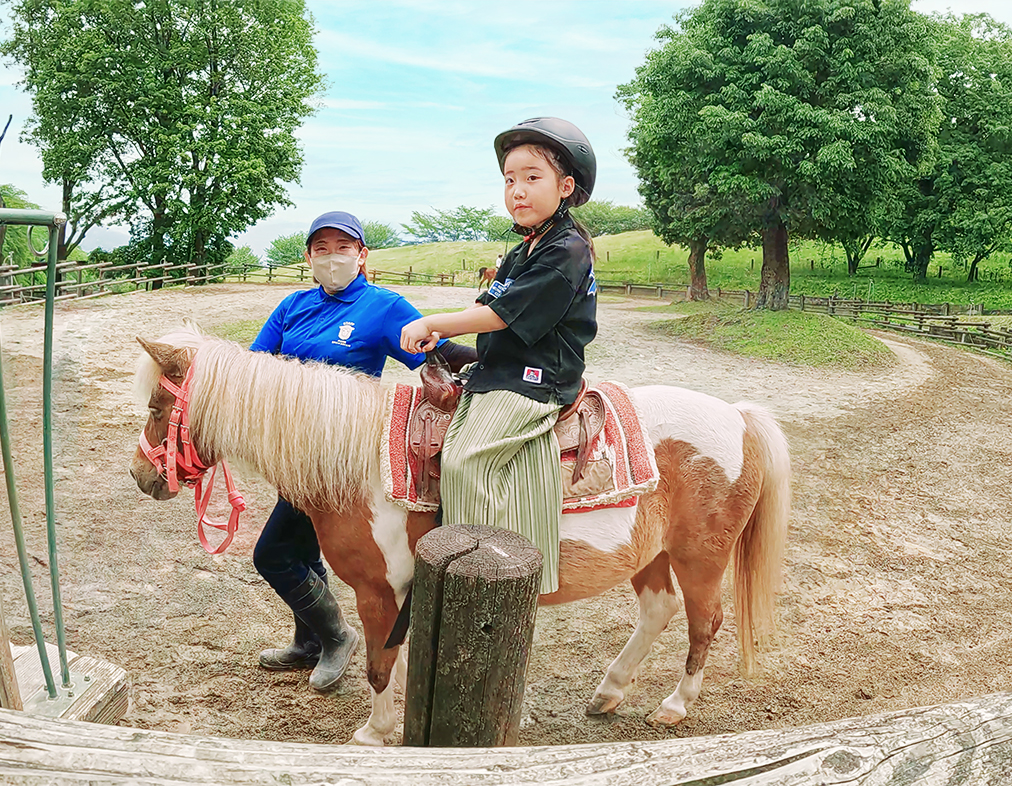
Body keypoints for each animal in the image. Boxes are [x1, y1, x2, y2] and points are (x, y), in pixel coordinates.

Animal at [128, 325, 789, 748]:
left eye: (160, 406)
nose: (141, 476)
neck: (358, 458)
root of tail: (738, 415)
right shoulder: (397, 592)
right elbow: (393, 660)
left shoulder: (378, 590)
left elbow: (378, 665)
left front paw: (372, 733)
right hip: (646, 552)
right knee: (659, 610)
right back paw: (608, 693)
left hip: (700, 557)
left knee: (704, 623)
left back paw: (673, 707)